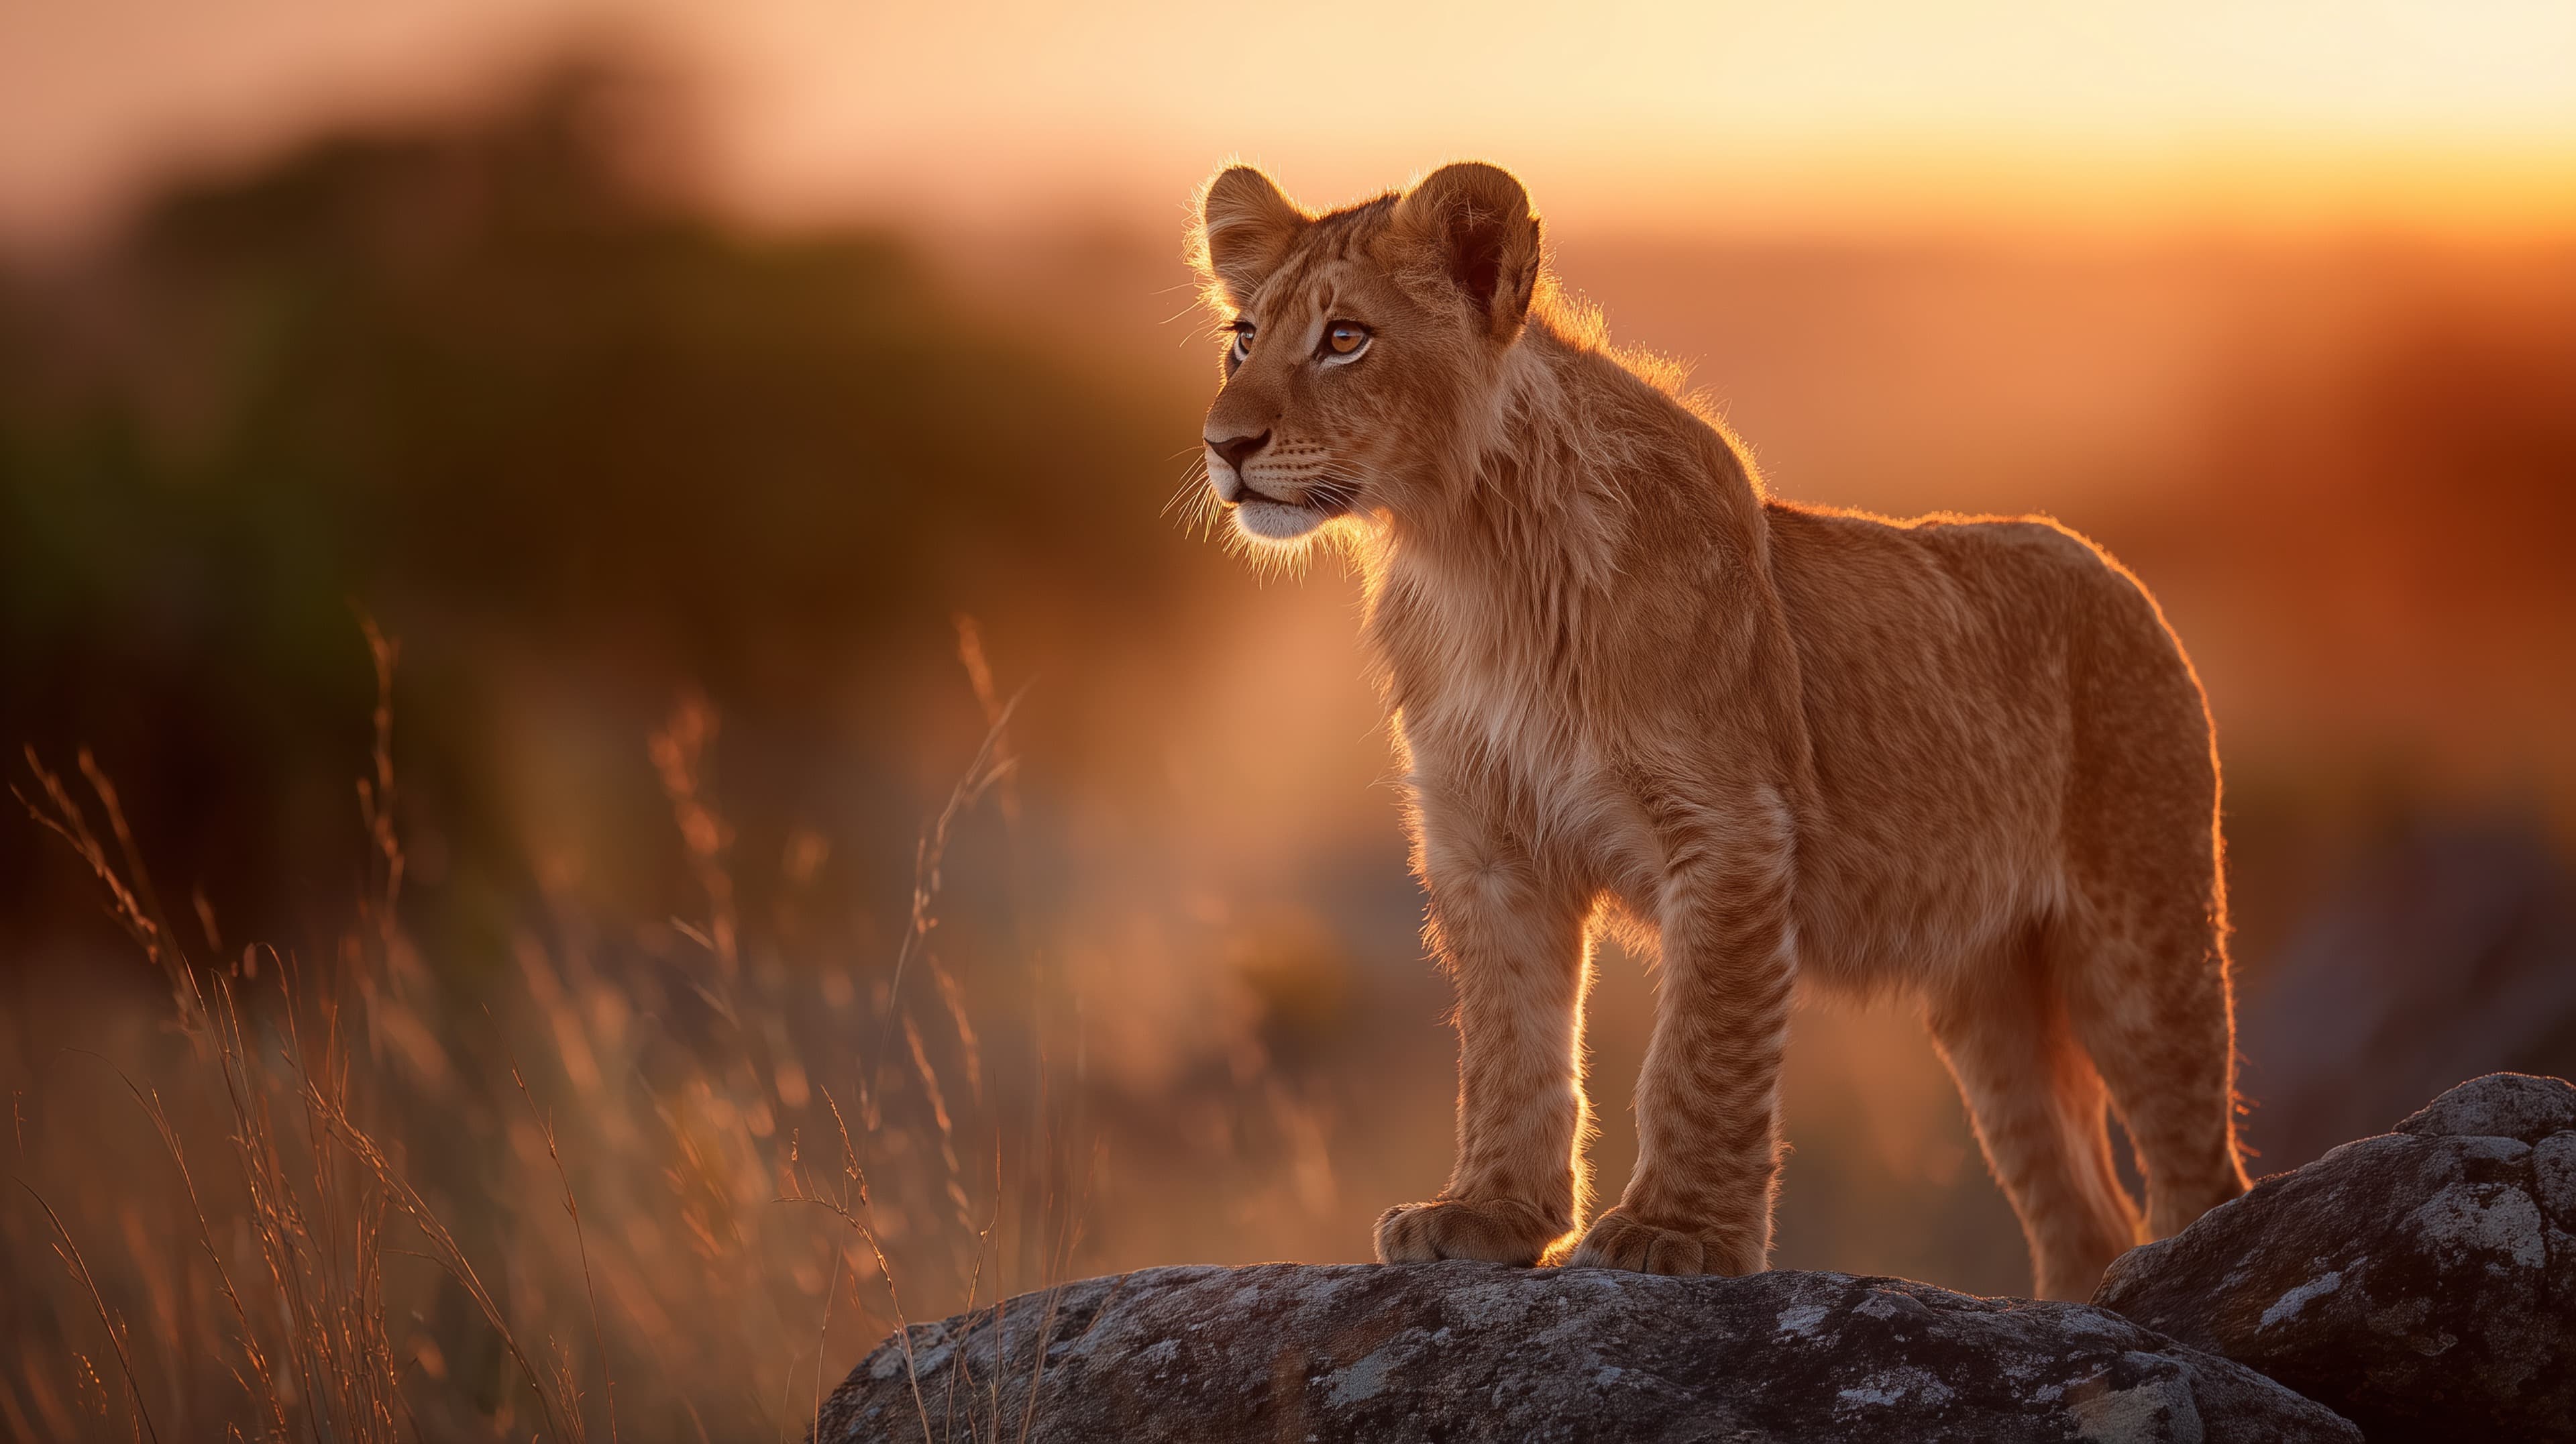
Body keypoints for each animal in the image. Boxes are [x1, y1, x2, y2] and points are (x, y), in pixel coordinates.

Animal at [1187, 160, 2249, 1299]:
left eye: (1346, 338)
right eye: (1243, 339)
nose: (1224, 445)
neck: (1472, 552)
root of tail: (2121, 578)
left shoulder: (1731, 828)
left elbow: (1699, 1052)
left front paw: (1676, 1235)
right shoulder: (1488, 846)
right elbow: (1511, 1045)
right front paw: (1487, 1215)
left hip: (2137, 936)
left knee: (2196, 1163)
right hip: (1990, 995)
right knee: (2079, 1208)